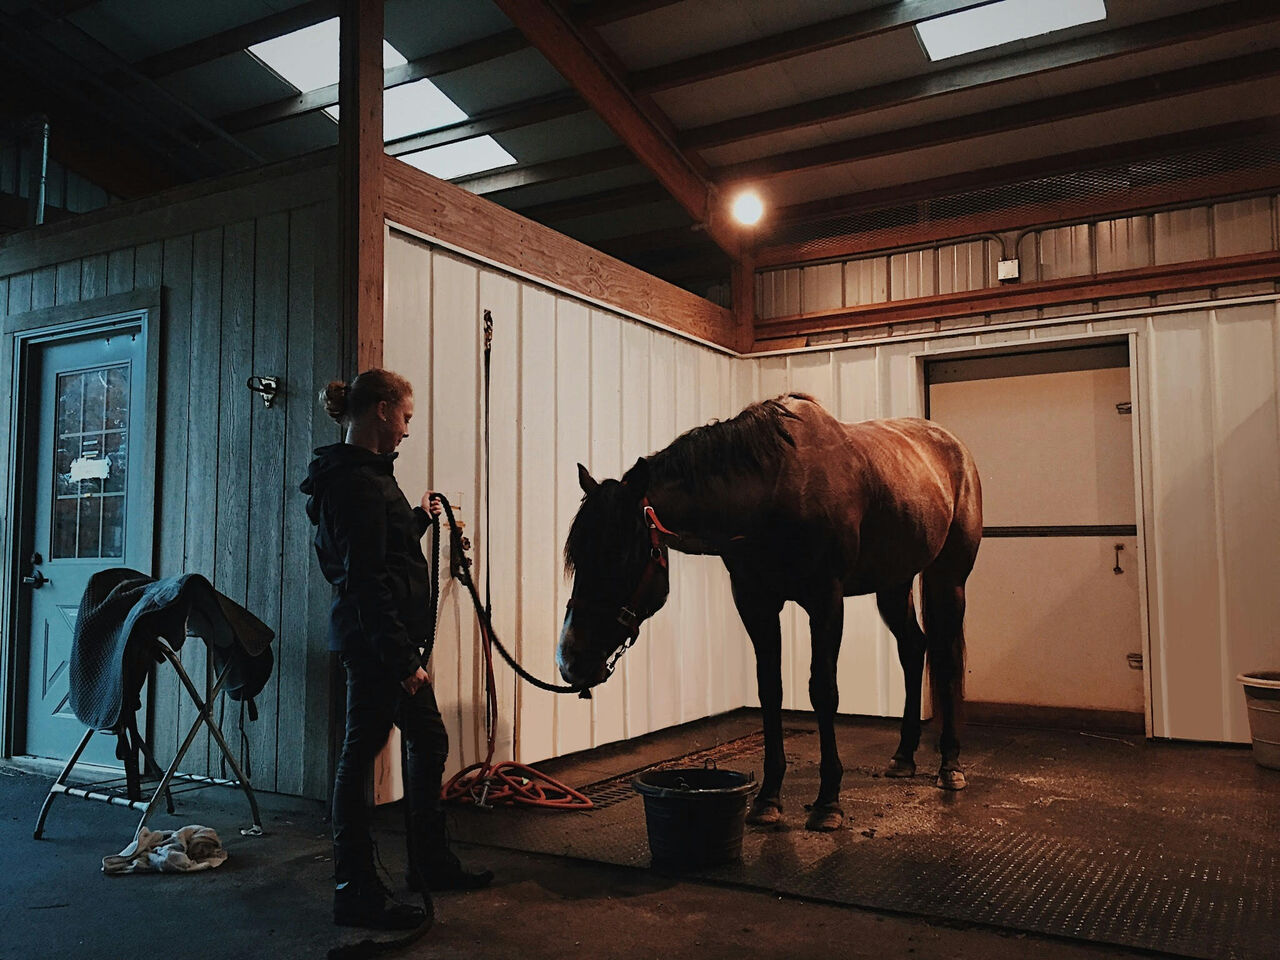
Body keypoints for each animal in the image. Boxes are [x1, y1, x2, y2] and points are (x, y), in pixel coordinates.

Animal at [558, 393, 982, 832]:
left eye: (621, 556)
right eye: (577, 557)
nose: (570, 661)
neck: (773, 492)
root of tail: (953, 447)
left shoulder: (825, 600)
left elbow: (823, 691)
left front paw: (828, 802)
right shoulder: (755, 602)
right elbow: (769, 689)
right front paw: (768, 799)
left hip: (948, 579)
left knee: (947, 659)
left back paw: (950, 765)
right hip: (894, 584)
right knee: (913, 650)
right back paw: (903, 756)